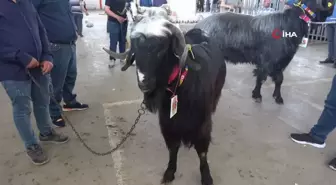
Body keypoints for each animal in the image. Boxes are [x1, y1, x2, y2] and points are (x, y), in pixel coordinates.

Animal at [103, 16, 227, 184]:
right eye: (135, 49)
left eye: (161, 48)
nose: (144, 83)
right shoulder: (167, 123)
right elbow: (173, 148)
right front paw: (169, 172)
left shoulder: (202, 124)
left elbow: (202, 151)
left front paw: (206, 177)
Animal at [193, 0, 334, 104]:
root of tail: (198, 25)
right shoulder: (267, 60)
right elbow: (261, 77)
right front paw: (257, 95)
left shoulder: (281, 61)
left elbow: (279, 79)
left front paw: (278, 97)